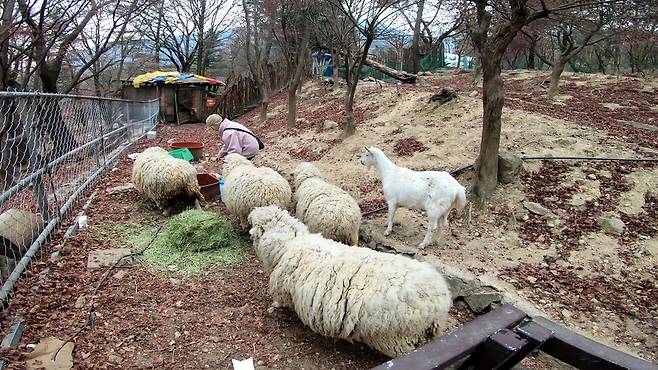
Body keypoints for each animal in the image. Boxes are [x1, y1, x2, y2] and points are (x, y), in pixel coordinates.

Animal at [246, 205, 452, 358]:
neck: (289, 245)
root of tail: (440, 301)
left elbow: (280, 300)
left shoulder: (283, 288)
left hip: (401, 340)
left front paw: (276, 305)